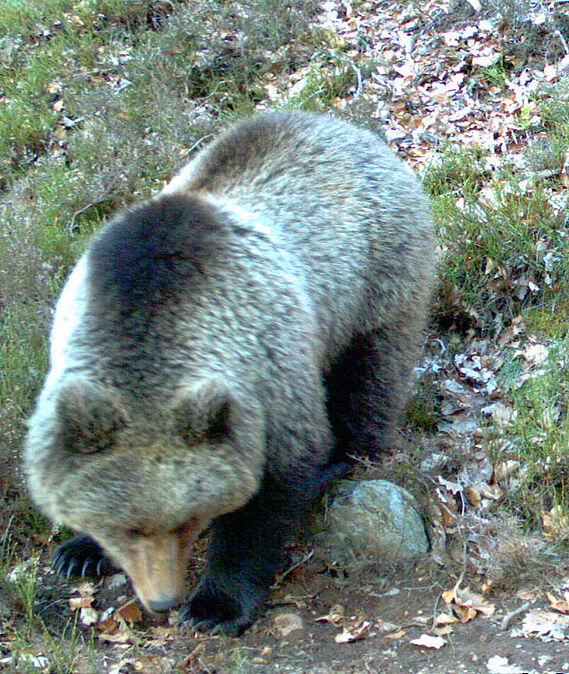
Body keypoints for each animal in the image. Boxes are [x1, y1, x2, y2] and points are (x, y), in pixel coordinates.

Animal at [25, 111, 434, 636]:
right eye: (126, 527)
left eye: (186, 520)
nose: (163, 600)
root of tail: (349, 129)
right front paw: (79, 551)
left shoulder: (267, 368)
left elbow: (272, 487)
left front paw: (215, 604)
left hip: (377, 277)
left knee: (368, 376)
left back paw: (345, 454)